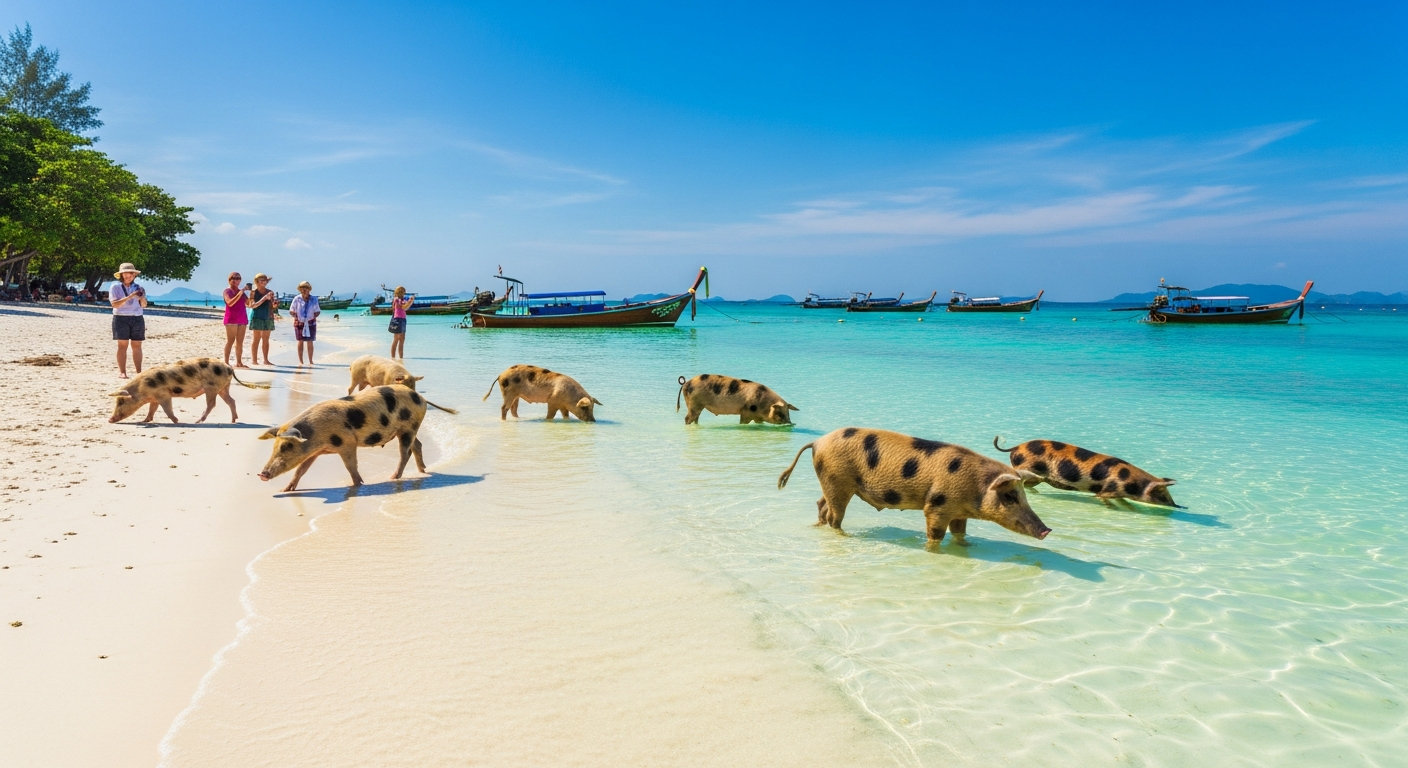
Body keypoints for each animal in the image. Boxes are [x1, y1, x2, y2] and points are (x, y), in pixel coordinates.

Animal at [108, 358, 269, 424]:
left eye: (121, 401)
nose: (110, 420)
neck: (142, 388)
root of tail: (229, 367)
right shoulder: (155, 398)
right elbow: (152, 409)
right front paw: (145, 420)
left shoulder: (163, 394)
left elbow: (167, 409)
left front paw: (177, 421)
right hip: (223, 387)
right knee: (231, 401)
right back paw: (233, 420)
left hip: (212, 388)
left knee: (212, 404)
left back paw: (198, 421)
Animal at [257, 385, 458, 492]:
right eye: (274, 447)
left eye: (286, 447)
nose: (262, 474)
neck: (316, 435)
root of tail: (421, 398)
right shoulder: (315, 451)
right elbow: (301, 470)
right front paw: (285, 490)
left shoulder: (347, 442)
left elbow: (350, 465)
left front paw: (358, 484)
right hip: (407, 429)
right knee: (417, 445)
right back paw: (423, 471)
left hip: (410, 426)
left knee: (405, 452)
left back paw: (393, 477)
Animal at [777, 427, 1051, 544]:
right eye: (1010, 497)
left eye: (1024, 496)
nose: (1046, 530)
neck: (976, 487)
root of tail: (817, 441)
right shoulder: (937, 505)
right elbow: (936, 534)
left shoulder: (958, 512)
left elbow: (960, 532)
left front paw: (966, 546)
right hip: (838, 480)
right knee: (834, 515)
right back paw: (846, 535)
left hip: (833, 481)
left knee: (821, 504)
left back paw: (817, 526)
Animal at [994, 436, 1179, 507]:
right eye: (1162, 495)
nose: (1179, 506)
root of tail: (1015, 447)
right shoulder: (1108, 489)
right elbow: (1101, 497)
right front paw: (1113, 507)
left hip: (1039, 477)